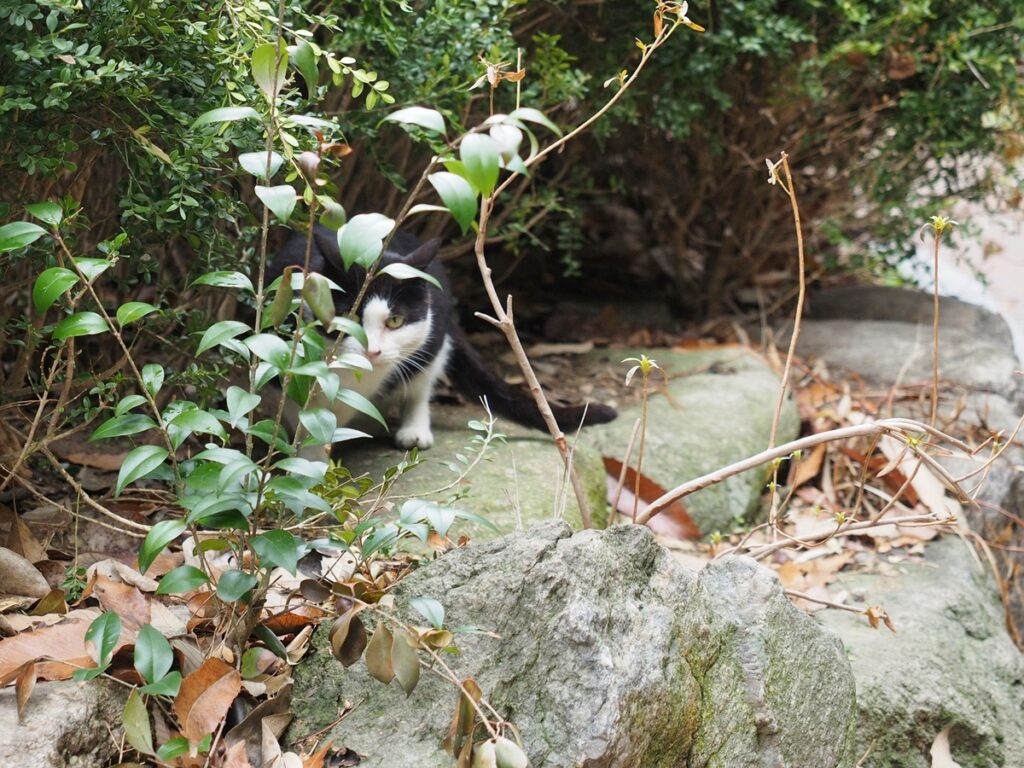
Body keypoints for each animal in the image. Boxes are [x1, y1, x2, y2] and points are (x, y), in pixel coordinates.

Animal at [269, 224, 616, 453]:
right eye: (349, 319)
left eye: (395, 321)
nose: (373, 352)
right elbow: (301, 419)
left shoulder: (427, 339)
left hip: (434, 335)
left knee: (421, 383)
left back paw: (413, 429)